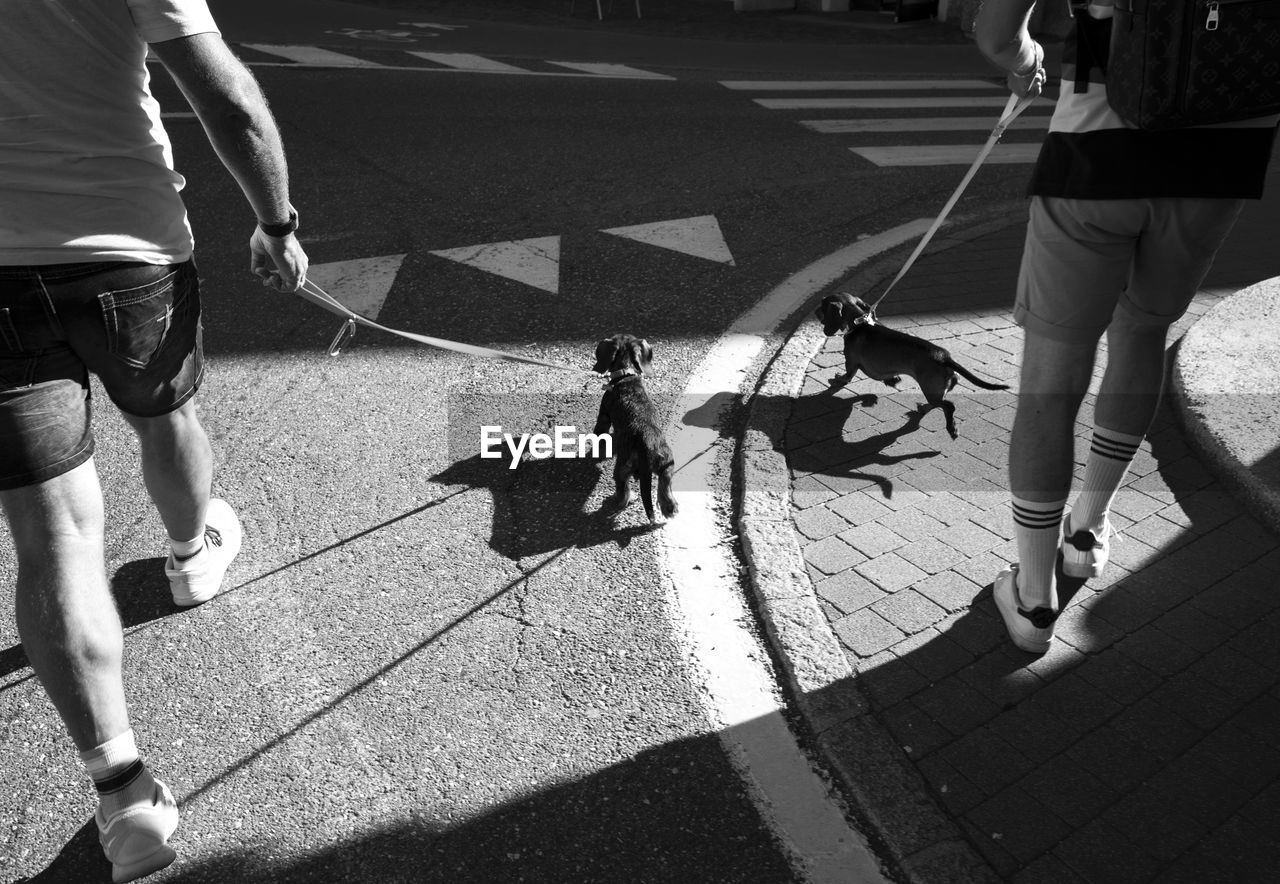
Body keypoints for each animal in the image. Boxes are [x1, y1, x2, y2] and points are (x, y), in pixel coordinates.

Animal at [593, 335, 680, 521]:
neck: (626, 374)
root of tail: (646, 444)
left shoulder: (603, 416)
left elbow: (600, 435)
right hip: (667, 463)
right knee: (665, 483)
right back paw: (669, 508)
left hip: (623, 466)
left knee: (622, 488)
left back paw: (619, 500)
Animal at [819, 291, 1008, 440]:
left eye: (822, 304)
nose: (814, 311)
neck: (860, 323)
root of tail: (944, 356)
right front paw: (891, 381)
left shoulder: (851, 362)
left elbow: (847, 376)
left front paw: (838, 380)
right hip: (937, 389)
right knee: (939, 401)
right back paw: (923, 408)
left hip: (929, 388)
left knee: (948, 405)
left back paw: (951, 428)